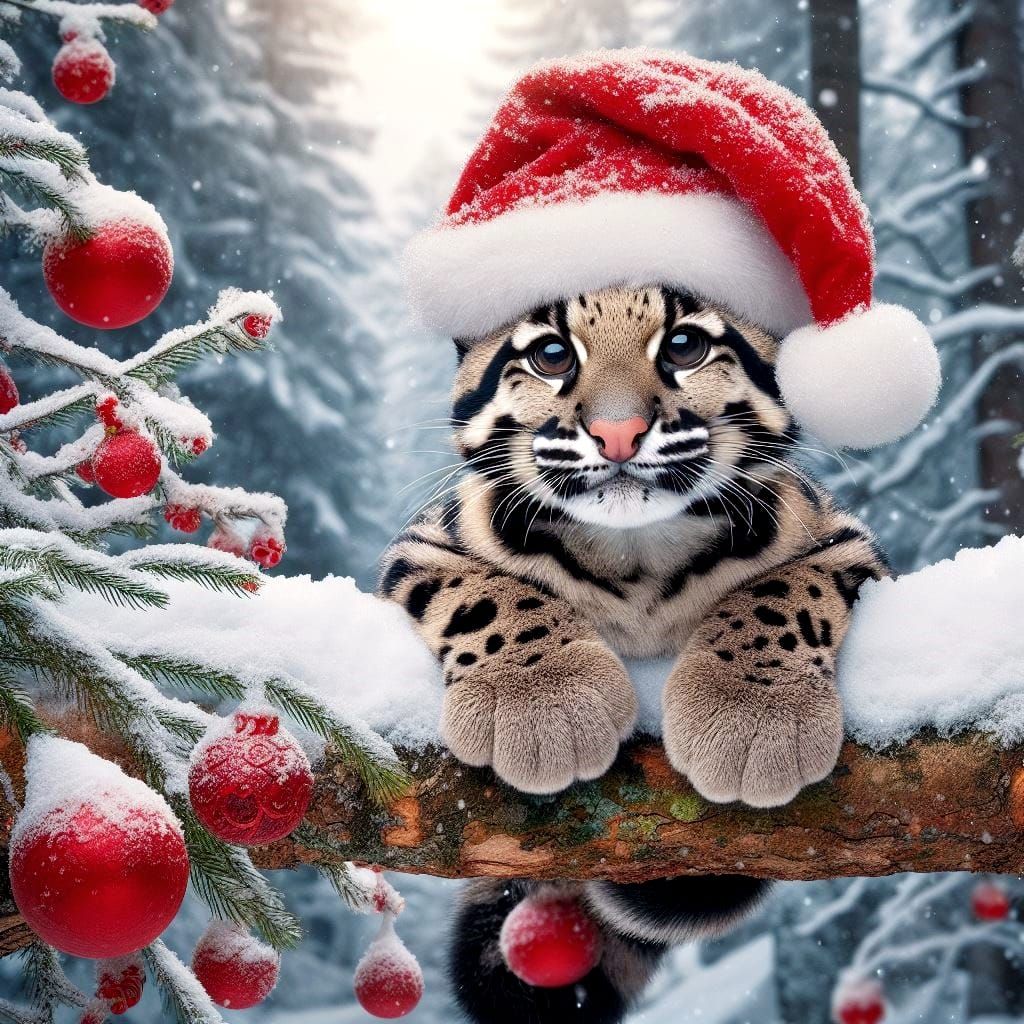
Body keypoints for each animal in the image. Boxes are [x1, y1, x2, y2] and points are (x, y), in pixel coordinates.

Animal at [379, 284, 887, 1024]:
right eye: (551, 354)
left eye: (685, 345)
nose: (617, 433)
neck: (636, 553)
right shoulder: (425, 544)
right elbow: (489, 593)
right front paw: (545, 698)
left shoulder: (844, 540)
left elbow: (780, 591)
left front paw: (752, 711)